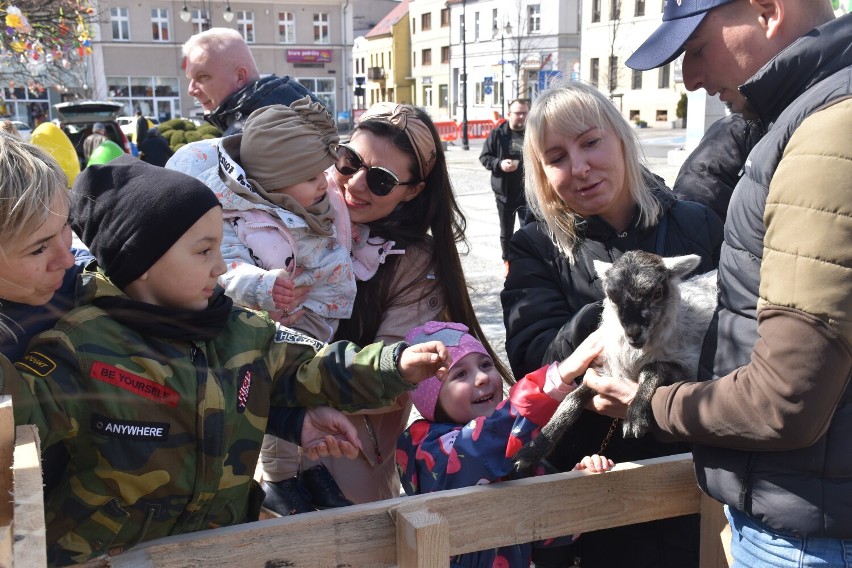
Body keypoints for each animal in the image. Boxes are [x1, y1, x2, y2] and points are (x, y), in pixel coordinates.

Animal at [512, 250, 720, 470]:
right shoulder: (604, 372)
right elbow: (571, 399)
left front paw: (635, 417)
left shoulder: (690, 367)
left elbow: (651, 369)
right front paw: (533, 448)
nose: (633, 333)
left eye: (657, 293)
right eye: (612, 296)